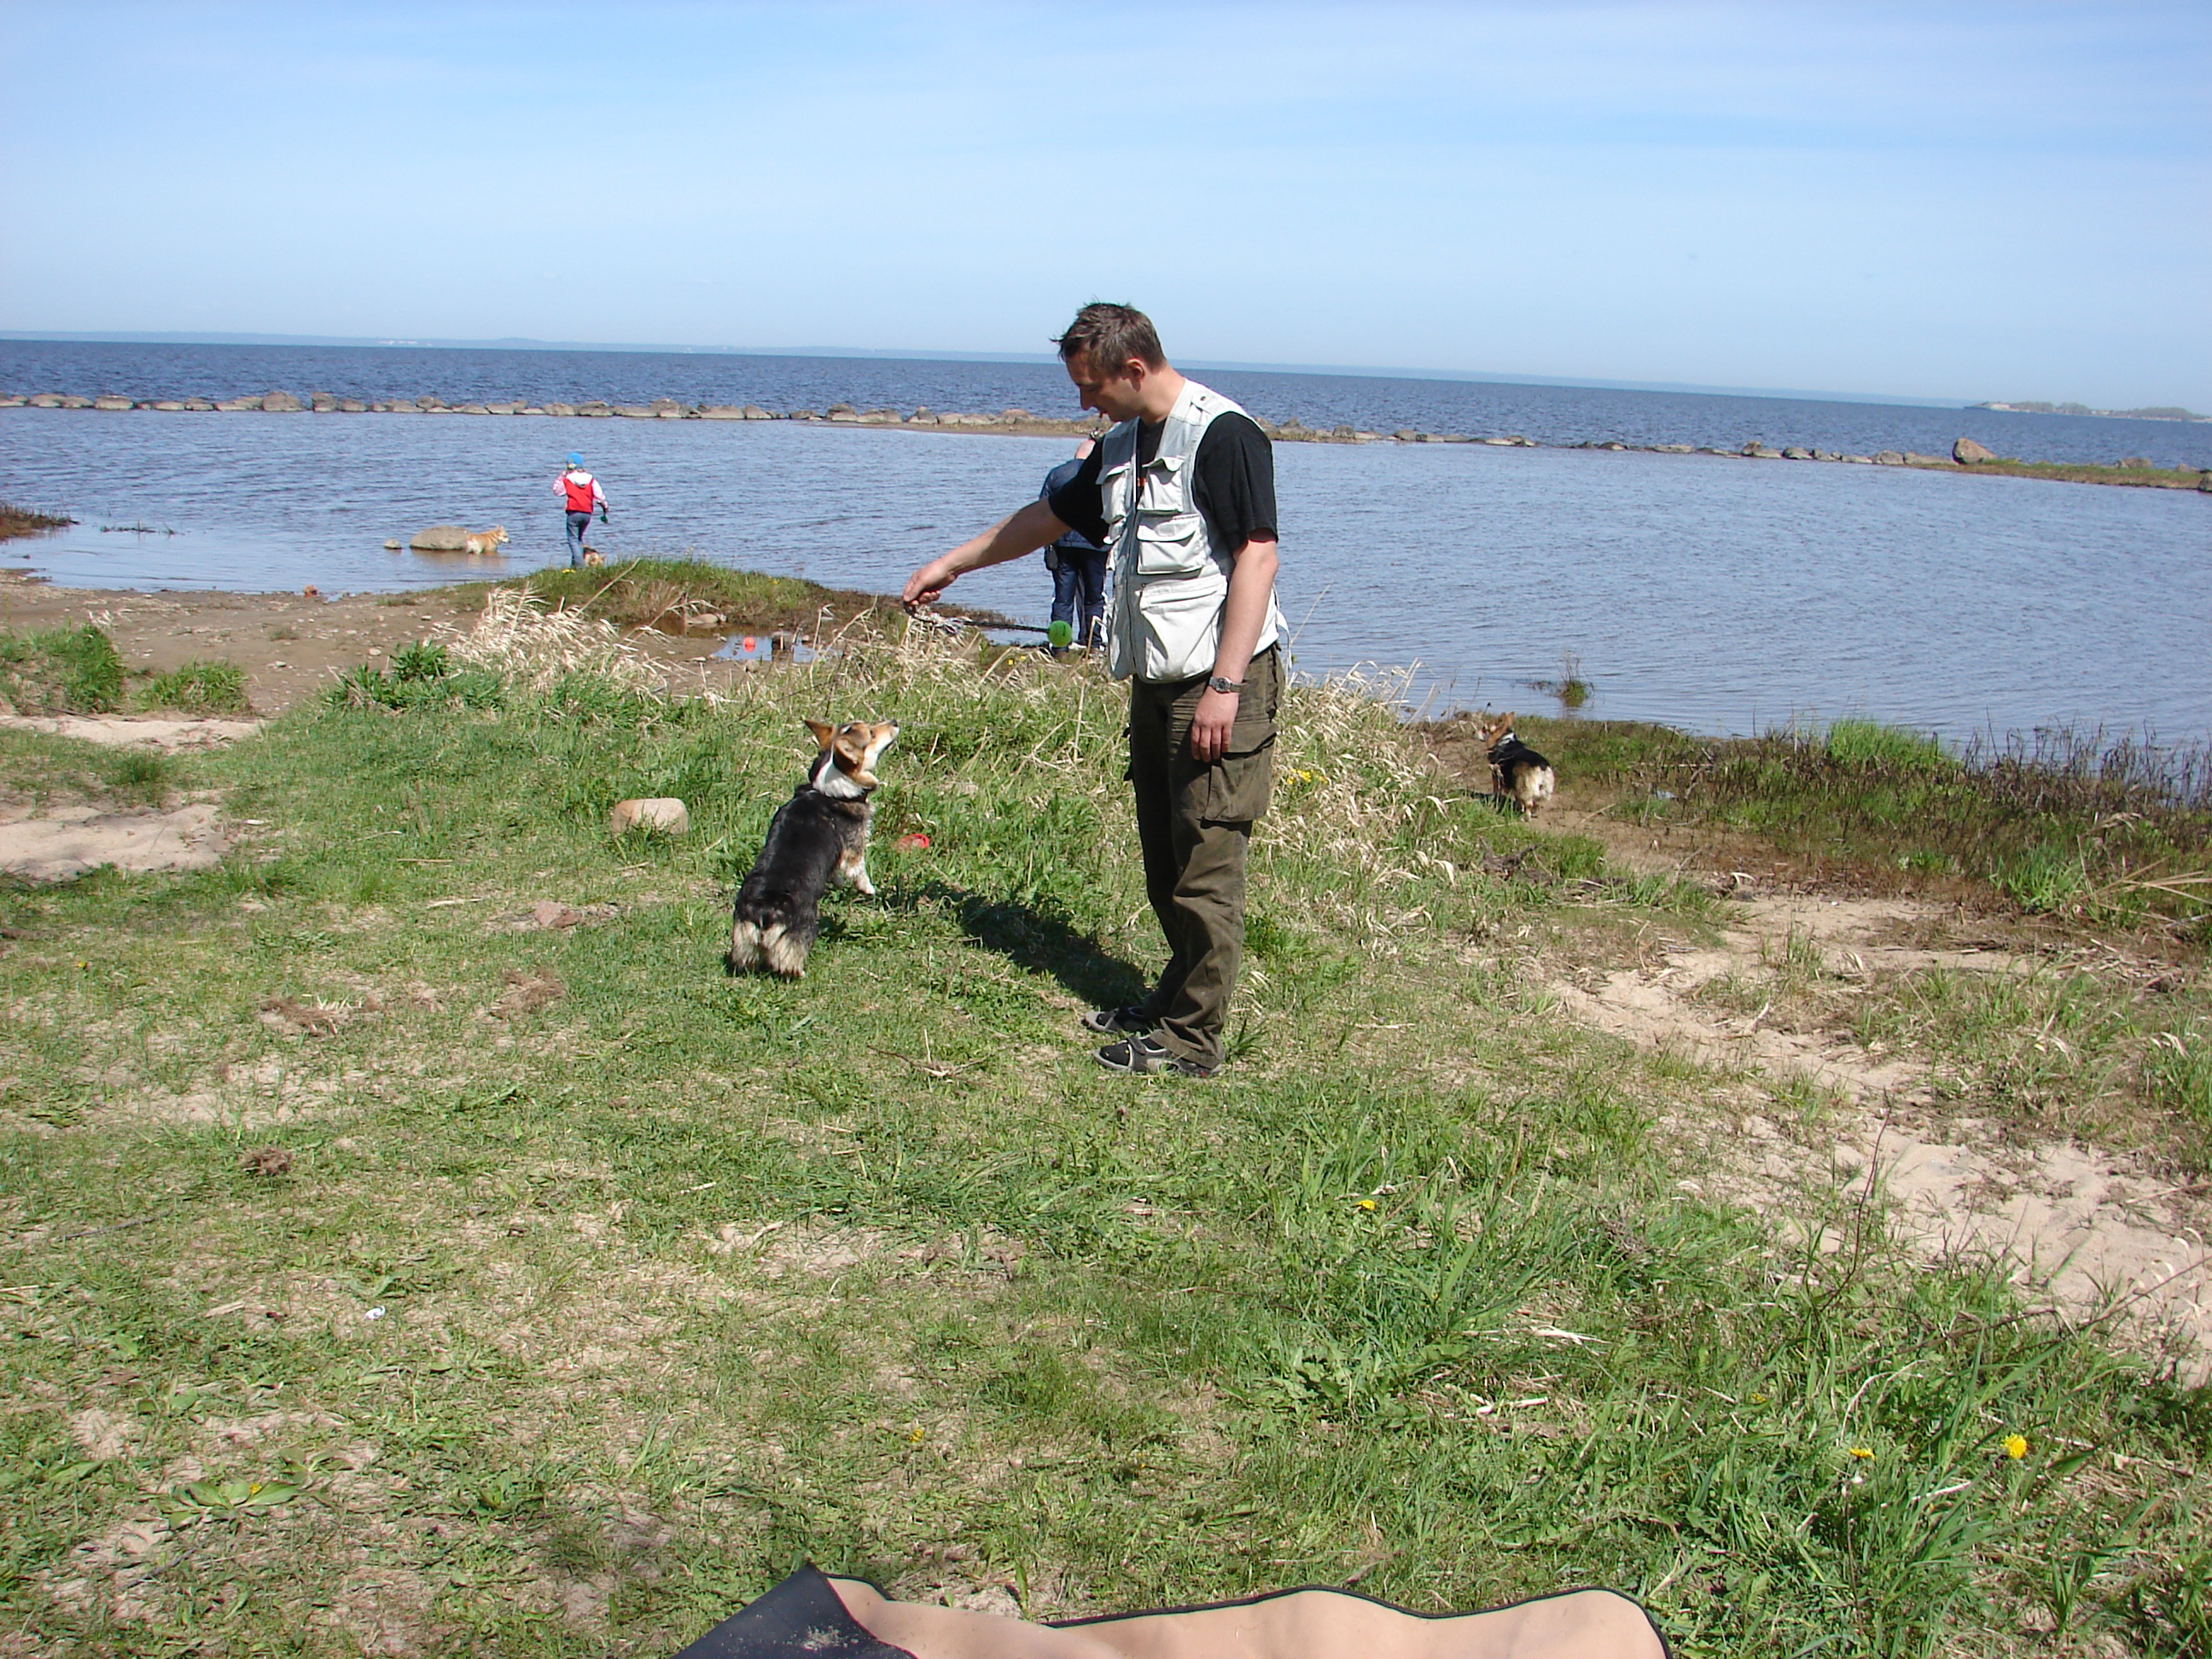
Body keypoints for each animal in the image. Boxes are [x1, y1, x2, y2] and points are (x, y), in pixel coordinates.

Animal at [727, 718, 899, 979]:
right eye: (871, 733)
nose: (895, 722)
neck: (826, 789)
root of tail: (765, 910)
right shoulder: (853, 845)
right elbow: (858, 869)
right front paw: (869, 889)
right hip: (803, 928)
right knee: (789, 957)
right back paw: (799, 974)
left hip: (743, 936)